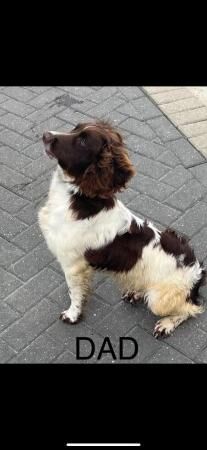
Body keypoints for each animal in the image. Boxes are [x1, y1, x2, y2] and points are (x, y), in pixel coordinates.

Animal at [38, 120, 205, 338]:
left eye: (82, 141)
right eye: (75, 128)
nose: (46, 135)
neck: (78, 198)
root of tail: (198, 271)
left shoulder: (73, 265)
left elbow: (75, 294)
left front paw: (72, 315)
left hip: (160, 300)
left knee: (190, 309)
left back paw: (167, 323)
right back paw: (136, 292)